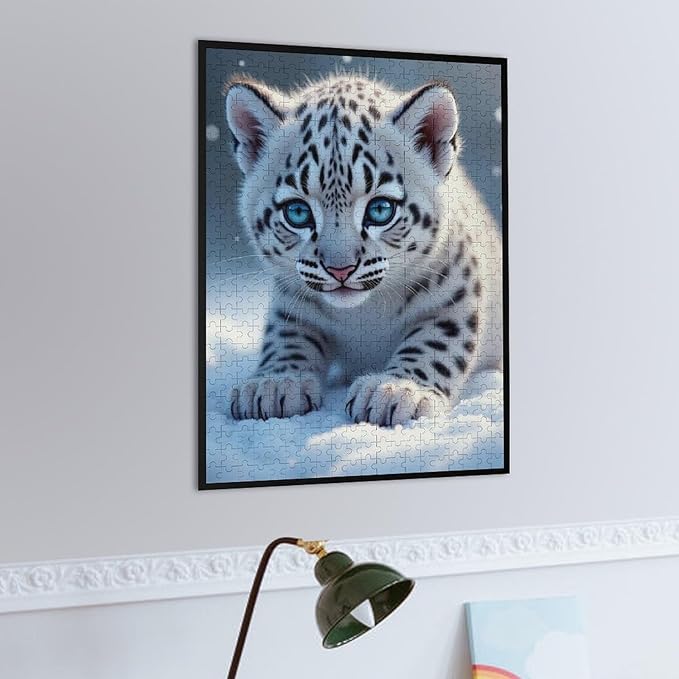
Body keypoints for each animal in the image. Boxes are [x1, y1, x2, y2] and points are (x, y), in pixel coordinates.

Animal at [223, 73, 503, 426]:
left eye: (380, 209)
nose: (340, 269)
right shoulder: (291, 299)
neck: (364, 314)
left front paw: (395, 389)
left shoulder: (456, 293)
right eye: (297, 212)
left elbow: (435, 340)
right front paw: (274, 383)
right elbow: (287, 337)